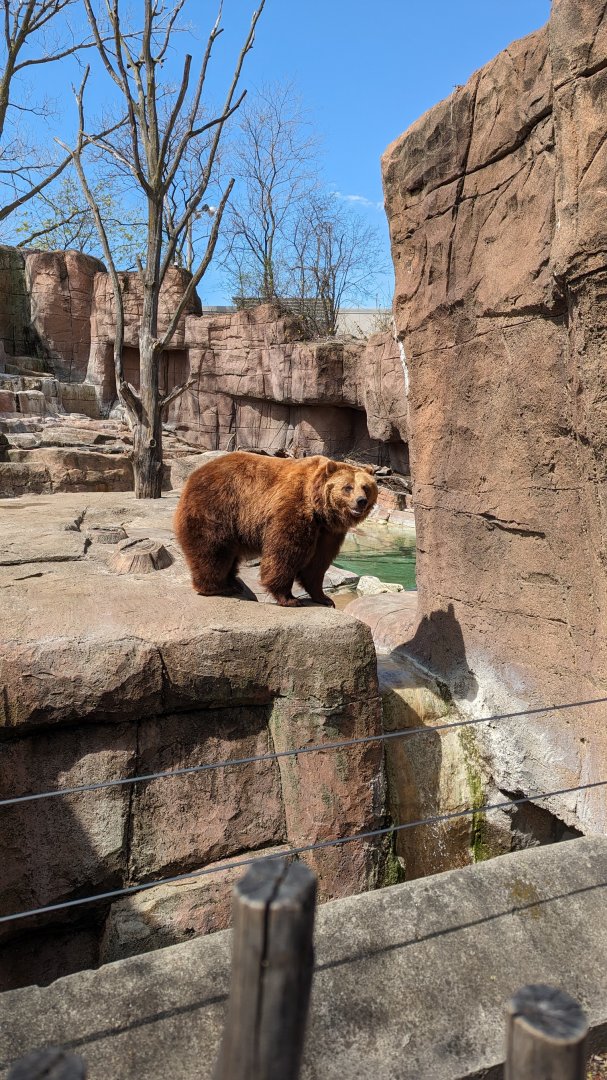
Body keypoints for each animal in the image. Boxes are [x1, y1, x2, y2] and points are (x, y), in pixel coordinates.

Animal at [174, 451, 378, 607]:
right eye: (347, 487)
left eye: (366, 487)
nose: (361, 501)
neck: (319, 509)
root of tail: (193, 475)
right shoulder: (294, 509)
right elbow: (285, 552)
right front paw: (290, 598)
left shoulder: (328, 532)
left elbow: (318, 563)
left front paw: (324, 598)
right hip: (217, 506)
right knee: (212, 547)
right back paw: (216, 587)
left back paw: (233, 583)